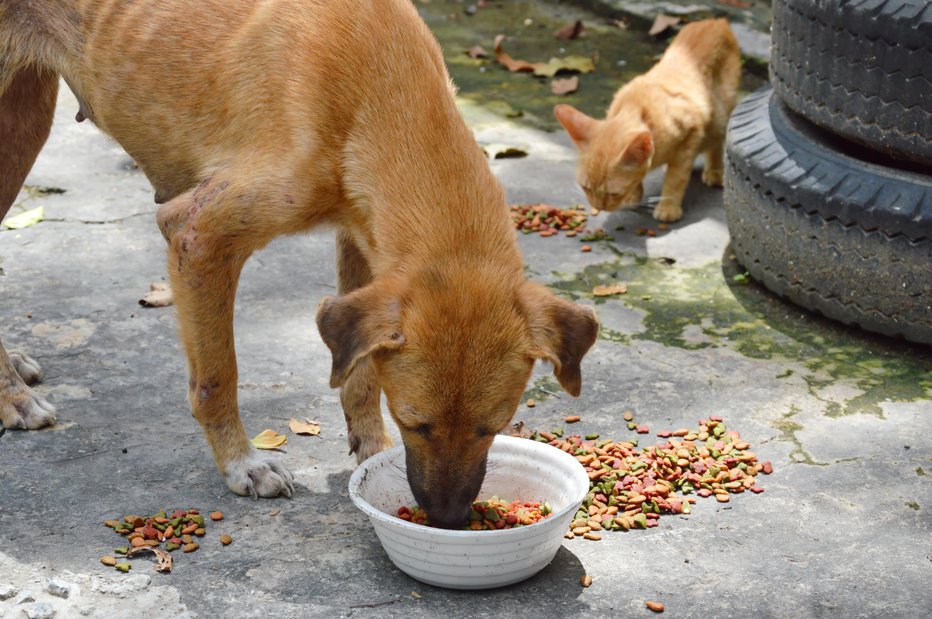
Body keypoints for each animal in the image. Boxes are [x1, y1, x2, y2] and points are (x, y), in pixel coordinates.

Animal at [0, 0, 596, 528]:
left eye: (493, 427)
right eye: (416, 423)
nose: (448, 520)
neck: (381, 91)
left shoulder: (363, 237)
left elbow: (359, 376)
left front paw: (371, 453)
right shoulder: (198, 235)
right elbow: (217, 375)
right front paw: (242, 465)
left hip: (25, 120)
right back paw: (15, 401)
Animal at [552, 18, 744, 223]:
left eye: (613, 193)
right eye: (586, 188)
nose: (599, 207)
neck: (635, 108)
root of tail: (716, 21)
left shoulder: (690, 134)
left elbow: (676, 178)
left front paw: (668, 206)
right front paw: (635, 194)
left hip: (720, 115)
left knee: (717, 141)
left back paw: (715, 170)